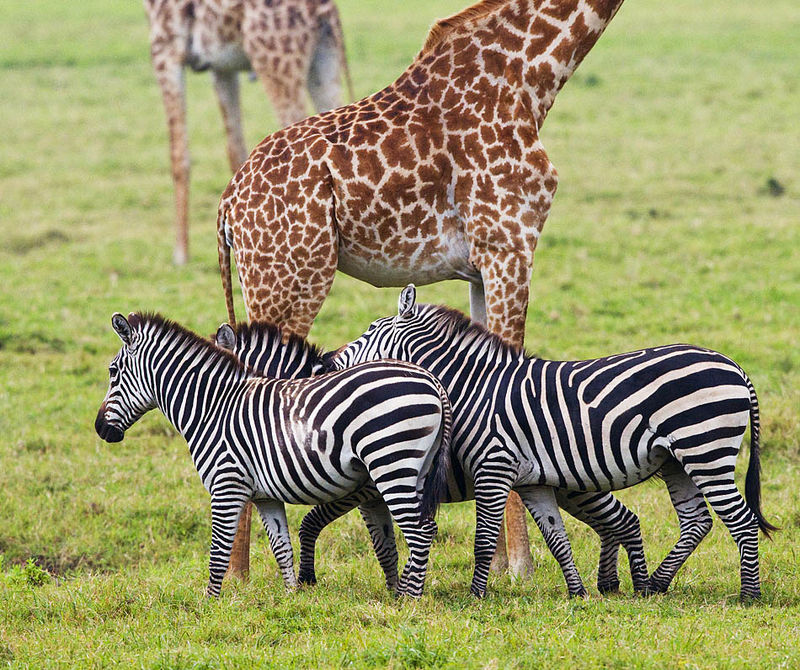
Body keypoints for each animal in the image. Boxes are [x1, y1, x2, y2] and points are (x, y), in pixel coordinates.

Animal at [94, 312, 453, 598]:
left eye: (112, 371)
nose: (99, 429)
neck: (212, 407)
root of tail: (430, 379)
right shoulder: (265, 496)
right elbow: (282, 547)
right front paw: (293, 597)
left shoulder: (227, 486)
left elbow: (218, 551)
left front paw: (209, 603)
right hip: (414, 470)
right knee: (423, 528)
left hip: (391, 463)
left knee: (420, 530)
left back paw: (410, 600)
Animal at [144, 0, 353, 265]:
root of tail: (326, 11)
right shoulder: (221, 67)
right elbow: (235, 151)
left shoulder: (165, 47)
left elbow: (178, 155)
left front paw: (181, 255)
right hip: (323, 62)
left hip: (275, 60)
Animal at [215, 320, 648, 595]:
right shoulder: (371, 493)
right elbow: (383, 542)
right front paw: (397, 588)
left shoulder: (360, 489)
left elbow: (314, 525)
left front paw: (310, 579)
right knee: (613, 523)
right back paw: (608, 584)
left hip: (574, 482)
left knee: (621, 520)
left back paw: (630, 585)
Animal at [217, 0, 627, 581]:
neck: (528, 77)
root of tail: (228, 205)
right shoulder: (510, 245)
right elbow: (513, 374)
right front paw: (523, 566)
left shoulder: (479, 267)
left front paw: (497, 561)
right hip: (292, 276)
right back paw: (240, 577)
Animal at [319, 285, 776, 600]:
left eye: (369, 331)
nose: (330, 362)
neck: (475, 388)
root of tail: (734, 366)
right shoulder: (532, 479)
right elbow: (557, 539)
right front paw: (578, 594)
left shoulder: (494, 467)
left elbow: (484, 539)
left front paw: (476, 596)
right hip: (676, 461)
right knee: (696, 521)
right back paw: (653, 586)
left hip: (705, 449)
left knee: (740, 519)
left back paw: (748, 595)